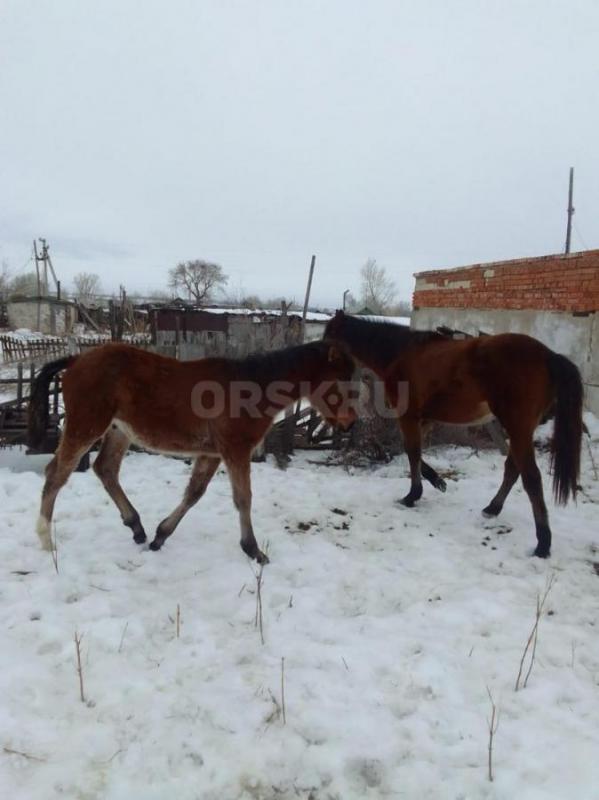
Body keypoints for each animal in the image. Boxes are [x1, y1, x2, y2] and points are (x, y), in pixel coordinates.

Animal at [29, 340, 356, 564]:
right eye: (340, 381)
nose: (349, 423)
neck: (251, 389)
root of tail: (76, 360)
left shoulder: (212, 453)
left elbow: (194, 493)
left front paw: (161, 536)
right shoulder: (236, 450)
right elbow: (243, 499)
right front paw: (254, 550)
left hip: (119, 430)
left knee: (105, 469)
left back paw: (137, 528)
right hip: (86, 426)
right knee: (56, 473)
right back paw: (46, 541)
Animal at [326, 310, 584, 560]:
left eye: (328, 339)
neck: (400, 354)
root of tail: (549, 356)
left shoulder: (408, 417)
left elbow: (412, 452)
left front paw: (412, 496)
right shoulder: (425, 419)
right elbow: (415, 453)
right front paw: (438, 481)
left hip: (518, 428)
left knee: (531, 477)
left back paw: (543, 544)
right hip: (522, 430)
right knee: (513, 469)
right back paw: (492, 509)